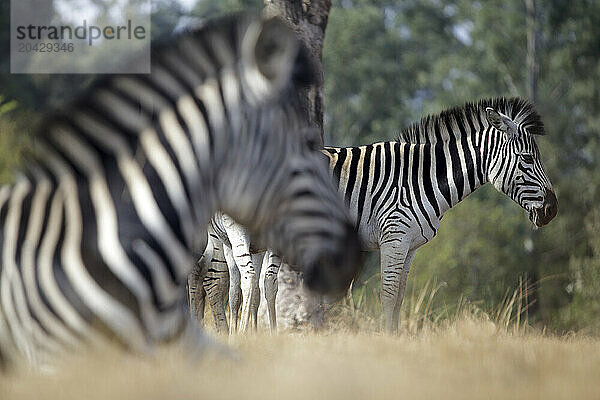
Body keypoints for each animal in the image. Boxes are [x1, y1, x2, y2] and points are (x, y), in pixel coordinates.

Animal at [196, 97, 556, 334]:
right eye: (527, 159)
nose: (552, 209)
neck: (422, 177)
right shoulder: (393, 237)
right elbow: (388, 293)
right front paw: (386, 341)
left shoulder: (411, 246)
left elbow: (400, 295)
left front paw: (396, 339)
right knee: (236, 281)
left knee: (229, 283)